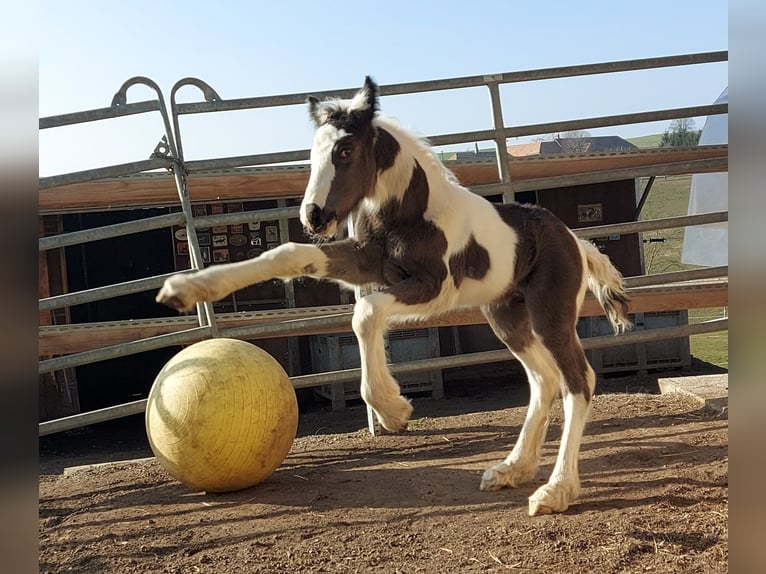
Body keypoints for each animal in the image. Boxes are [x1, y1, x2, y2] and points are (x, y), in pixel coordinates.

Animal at [156, 77, 632, 516]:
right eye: (313, 152)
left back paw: (556, 490)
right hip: (506, 316)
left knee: (578, 381)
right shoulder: (367, 260)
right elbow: (293, 255)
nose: (314, 215)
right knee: (544, 380)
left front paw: (392, 410)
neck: (410, 212)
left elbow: (366, 312)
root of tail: (575, 241)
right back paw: (512, 469)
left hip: (550, 314)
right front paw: (185, 288)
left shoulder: (434, 286)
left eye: (345, 151)